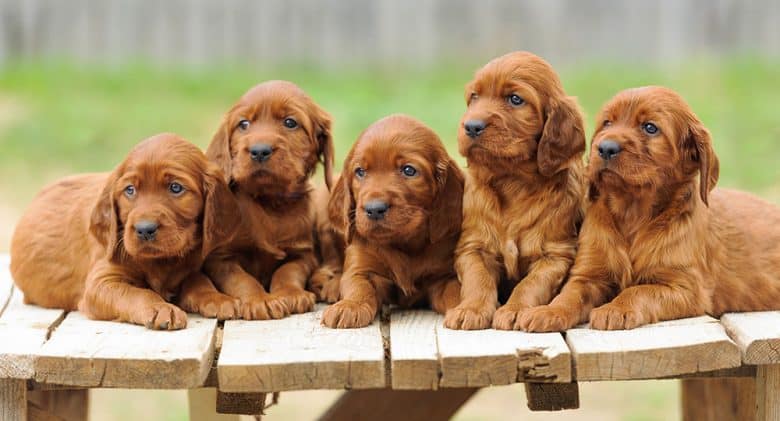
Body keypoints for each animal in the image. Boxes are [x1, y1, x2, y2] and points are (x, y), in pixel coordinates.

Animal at [10, 134, 238, 328]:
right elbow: (136, 293)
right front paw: (160, 308)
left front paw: (218, 298)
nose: (145, 229)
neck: (161, 261)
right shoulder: (100, 283)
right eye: (130, 190)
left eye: (175, 187)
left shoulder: (189, 268)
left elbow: (199, 280)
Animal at [203, 80, 334, 320]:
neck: (269, 201)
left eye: (290, 122)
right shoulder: (220, 258)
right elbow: (242, 279)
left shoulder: (303, 253)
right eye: (243, 124)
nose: (259, 151)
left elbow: (287, 271)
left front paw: (291, 293)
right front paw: (260, 300)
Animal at [322, 114, 464, 328]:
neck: (404, 244)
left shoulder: (445, 276)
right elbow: (358, 286)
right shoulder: (361, 267)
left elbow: (456, 290)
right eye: (360, 172)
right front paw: (349, 306)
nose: (374, 209)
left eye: (408, 170)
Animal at [444, 50, 584, 330]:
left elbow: (530, 284)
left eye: (515, 99)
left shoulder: (555, 254)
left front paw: (516, 309)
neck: (512, 181)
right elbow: (478, 280)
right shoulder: (473, 247)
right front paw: (470, 309)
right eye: (474, 97)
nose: (471, 126)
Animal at [516, 87, 780, 332]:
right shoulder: (588, 274)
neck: (632, 213)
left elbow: (639, 291)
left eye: (650, 128)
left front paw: (615, 309)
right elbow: (569, 295)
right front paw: (547, 312)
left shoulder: (684, 287)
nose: (605, 148)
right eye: (607, 123)